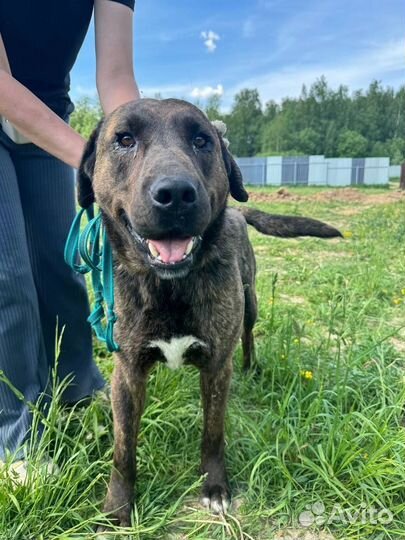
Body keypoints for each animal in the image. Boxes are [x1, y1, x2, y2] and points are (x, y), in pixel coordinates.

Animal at [76, 98, 340, 528]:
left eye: (202, 140)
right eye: (124, 140)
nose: (175, 193)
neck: (169, 287)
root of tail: (237, 214)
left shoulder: (217, 367)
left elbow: (213, 433)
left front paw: (215, 487)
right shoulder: (127, 373)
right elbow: (123, 448)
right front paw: (118, 505)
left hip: (250, 303)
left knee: (248, 335)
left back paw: (253, 366)